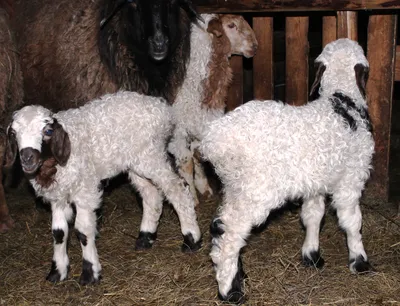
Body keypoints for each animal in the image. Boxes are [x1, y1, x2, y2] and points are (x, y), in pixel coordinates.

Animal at [4, 91, 202, 284]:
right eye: (13, 133)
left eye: (48, 131)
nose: (27, 157)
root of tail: (161, 107)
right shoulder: (58, 196)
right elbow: (59, 232)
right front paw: (57, 272)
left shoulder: (85, 191)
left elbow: (83, 231)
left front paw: (90, 273)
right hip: (135, 162)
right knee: (151, 194)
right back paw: (145, 238)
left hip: (151, 156)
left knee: (177, 190)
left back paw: (191, 240)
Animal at [167, 14, 258, 206]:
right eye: (231, 26)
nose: (254, 46)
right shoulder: (178, 129)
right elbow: (187, 163)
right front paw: (192, 197)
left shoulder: (200, 121)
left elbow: (198, 155)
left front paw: (204, 187)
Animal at [202, 38, 374, 304]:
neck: (342, 99)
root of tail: (215, 140)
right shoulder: (351, 178)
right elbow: (352, 220)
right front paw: (359, 261)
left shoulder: (315, 182)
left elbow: (313, 215)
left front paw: (311, 255)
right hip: (256, 190)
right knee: (230, 233)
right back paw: (230, 289)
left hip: (236, 186)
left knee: (219, 225)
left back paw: (238, 276)